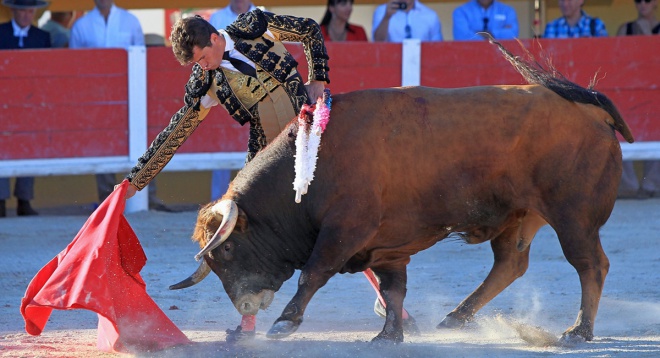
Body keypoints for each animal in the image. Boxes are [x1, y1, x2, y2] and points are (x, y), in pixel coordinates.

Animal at [170, 39, 636, 344]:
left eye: (229, 250)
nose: (246, 307)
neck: (314, 161)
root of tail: (591, 108)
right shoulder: (386, 244)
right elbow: (394, 288)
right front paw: (389, 335)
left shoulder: (346, 229)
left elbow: (313, 273)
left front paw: (284, 324)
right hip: (519, 216)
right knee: (510, 265)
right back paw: (456, 317)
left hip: (573, 215)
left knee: (590, 264)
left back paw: (579, 330)